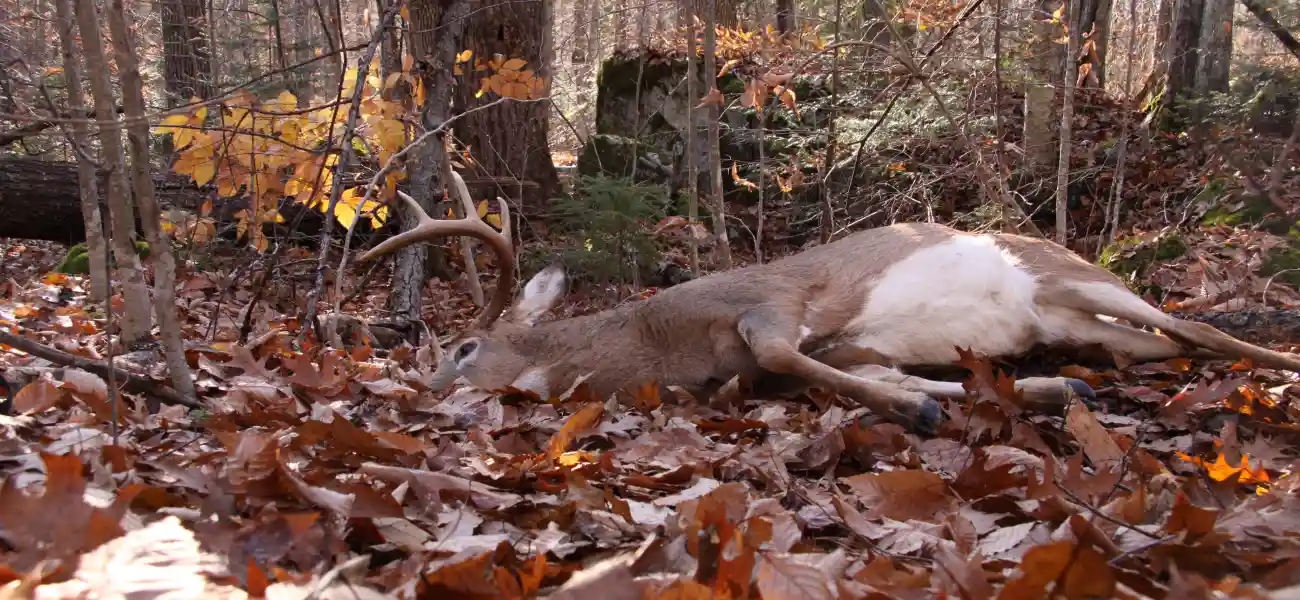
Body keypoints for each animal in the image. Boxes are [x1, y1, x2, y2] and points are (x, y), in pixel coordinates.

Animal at [358, 173, 1300, 435]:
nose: (414, 393)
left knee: (1196, 323)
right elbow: (861, 373)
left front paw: (920, 410)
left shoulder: (767, 299)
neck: (656, 343)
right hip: (1075, 323)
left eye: (462, 349)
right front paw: (1030, 391)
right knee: (1169, 346)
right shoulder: (812, 359)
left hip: (1072, 275)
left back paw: (1283, 366)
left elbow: (785, 351)